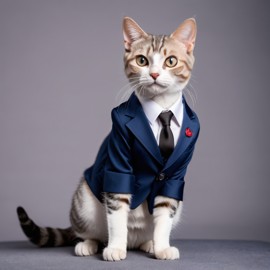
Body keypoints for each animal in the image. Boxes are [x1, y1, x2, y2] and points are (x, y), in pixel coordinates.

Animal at [16, 15, 198, 260]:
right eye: (142, 60)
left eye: (171, 61)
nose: (154, 74)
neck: (161, 109)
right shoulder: (118, 158)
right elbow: (117, 210)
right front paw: (115, 248)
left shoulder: (175, 174)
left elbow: (164, 211)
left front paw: (161, 247)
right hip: (84, 203)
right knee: (88, 231)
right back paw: (89, 244)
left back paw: (148, 243)